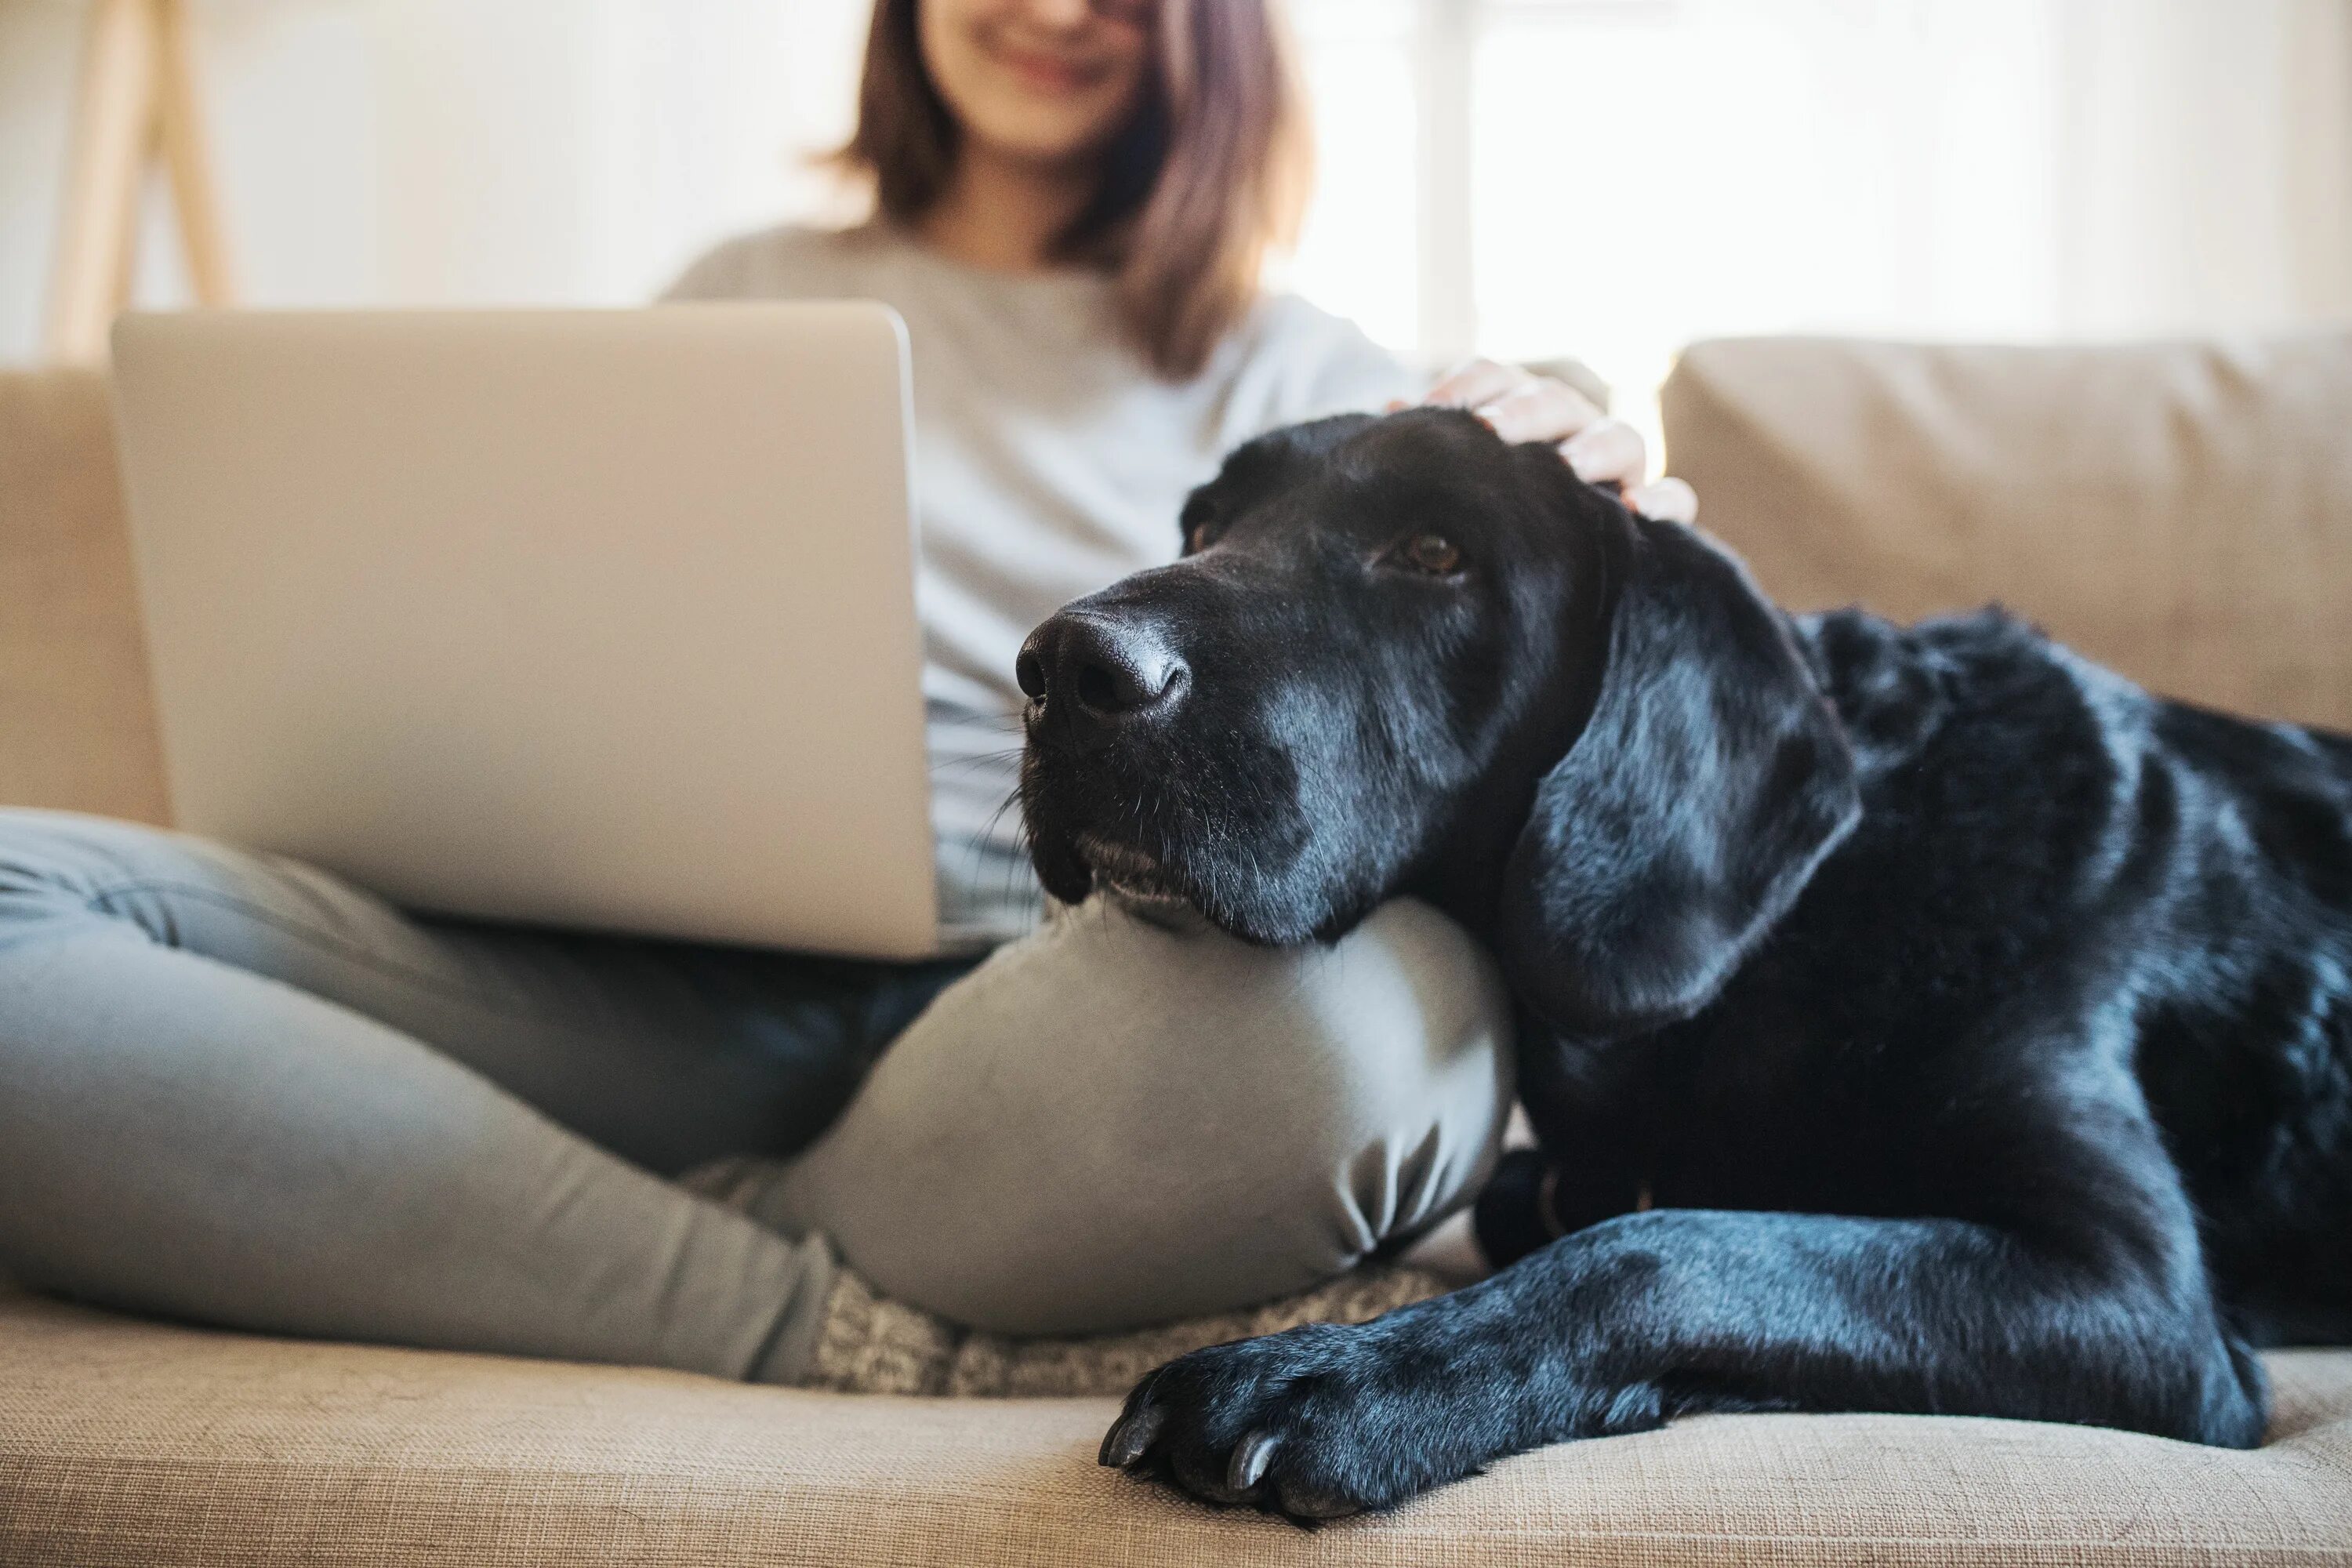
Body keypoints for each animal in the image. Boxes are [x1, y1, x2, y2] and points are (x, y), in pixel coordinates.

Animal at [1011, 401, 2352, 1523]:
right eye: (1206, 522)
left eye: (1437, 553)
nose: (1065, 669)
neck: (1802, 924)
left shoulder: (2136, 1295)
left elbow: (1665, 1247)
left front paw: (1333, 1382)